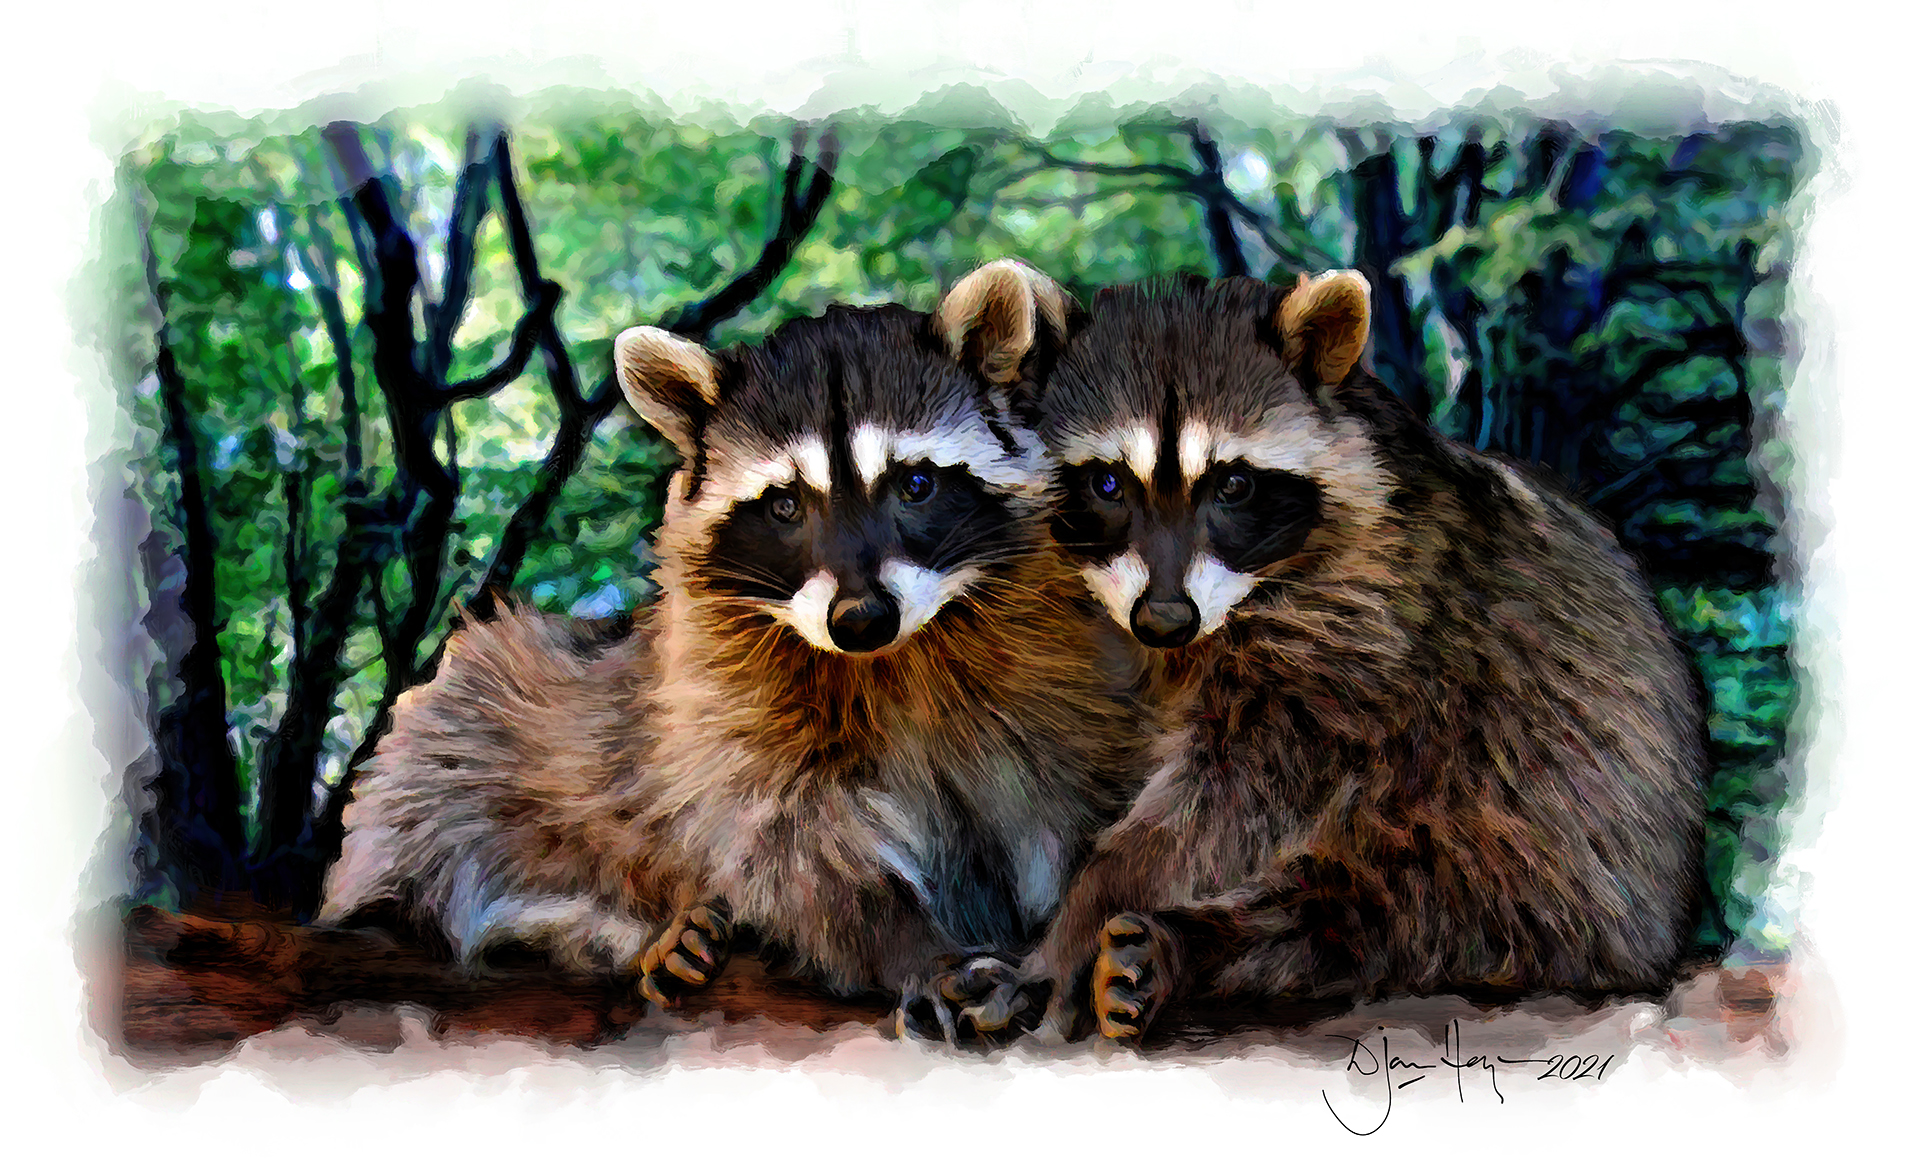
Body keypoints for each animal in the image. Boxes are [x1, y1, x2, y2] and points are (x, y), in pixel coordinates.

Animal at [318, 262, 1154, 1023]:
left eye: (915, 485)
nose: (860, 618)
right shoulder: (717, 695)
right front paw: (904, 940)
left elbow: (1048, 798)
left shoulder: (1040, 679)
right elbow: (786, 838)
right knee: (431, 831)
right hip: (457, 734)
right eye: (785, 504)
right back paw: (603, 932)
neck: (895, 658)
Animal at [954, 272, 1707, 1041]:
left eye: (1232, 484)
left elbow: (1226, 804)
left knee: (1372, 916)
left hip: (1523, 853)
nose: (1164, 619)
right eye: (1108, 484)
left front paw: (1082, 914)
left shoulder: (1370, 634)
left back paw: (1194, 953)